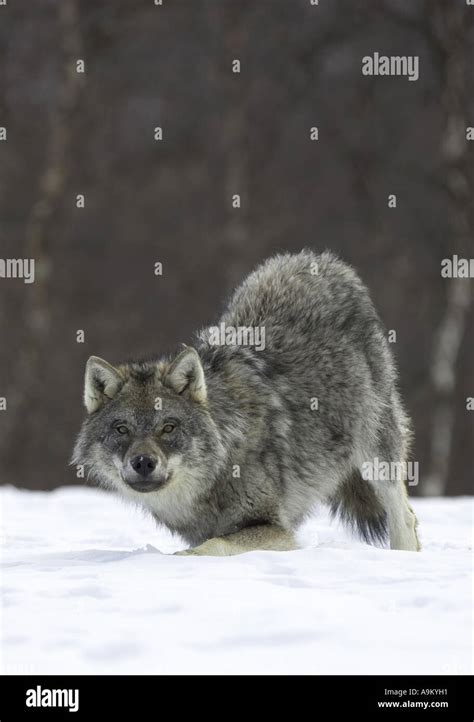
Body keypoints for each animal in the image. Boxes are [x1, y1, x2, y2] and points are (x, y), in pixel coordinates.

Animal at [72, 250, 420, 556]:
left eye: (168, 427)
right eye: (122, 429)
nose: (143, 463)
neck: (224, 454)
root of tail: (317, 260)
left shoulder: (275, 528)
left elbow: (213, 545)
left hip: (375, 451)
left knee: (405, 515)